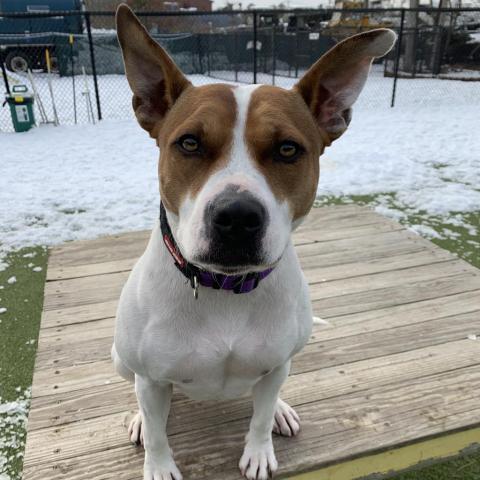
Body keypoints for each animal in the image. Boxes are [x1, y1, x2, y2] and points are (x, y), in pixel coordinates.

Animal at [113, 6, 398, 480]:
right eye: (189, 143)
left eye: (287, 149)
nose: (237, 218)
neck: (225, 289)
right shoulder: (151, 378)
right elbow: (156, 430)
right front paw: (158, 464)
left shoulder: (277, 364)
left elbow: (260, 415)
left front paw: (261, 448)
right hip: (122, 359)